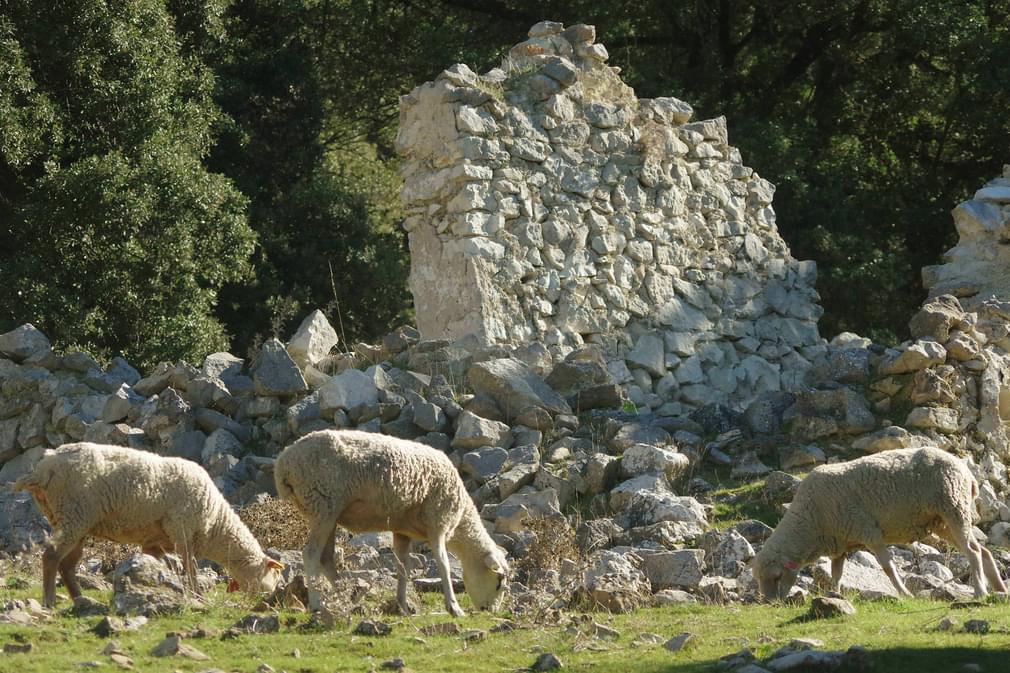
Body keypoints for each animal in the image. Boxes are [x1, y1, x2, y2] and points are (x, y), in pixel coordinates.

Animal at [14, 440, 284, 602]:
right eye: (274, 578)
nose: (268, 599)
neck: (217, 523)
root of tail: (42, 468)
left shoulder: (154, 543)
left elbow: (162, 566)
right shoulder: (183, 530)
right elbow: (191, 568)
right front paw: (197, 595)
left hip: (73, 519)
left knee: (67, 565)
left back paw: (79, 599)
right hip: (74, 512)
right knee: (51, 555)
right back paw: (50, 601)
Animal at [274, 430, 509, 614]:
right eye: (499, 582)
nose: (490, 611)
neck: (461, 520)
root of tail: (283, 462)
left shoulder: (403, 531)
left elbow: (403, 567)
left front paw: (403, 606)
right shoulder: (438, 523)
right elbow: (444, 564)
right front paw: (454, 607)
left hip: (326, 513)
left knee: (326, 558)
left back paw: (346, 597)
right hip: (323, 504)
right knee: (311, 553)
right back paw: (316, 604)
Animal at [755, 444, 1005, 598]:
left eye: (777, 576)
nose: (771, 603)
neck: (810, 523)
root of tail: (966, 470)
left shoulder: (868, 531)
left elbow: (887, 567)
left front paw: (904, 593)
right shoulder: (841, 542)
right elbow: (836, 573)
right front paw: (834, 594)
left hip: (953, 507)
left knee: (973, 551)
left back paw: (981, 591)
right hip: (943, 521)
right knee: (983, 551)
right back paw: (1000, 589)